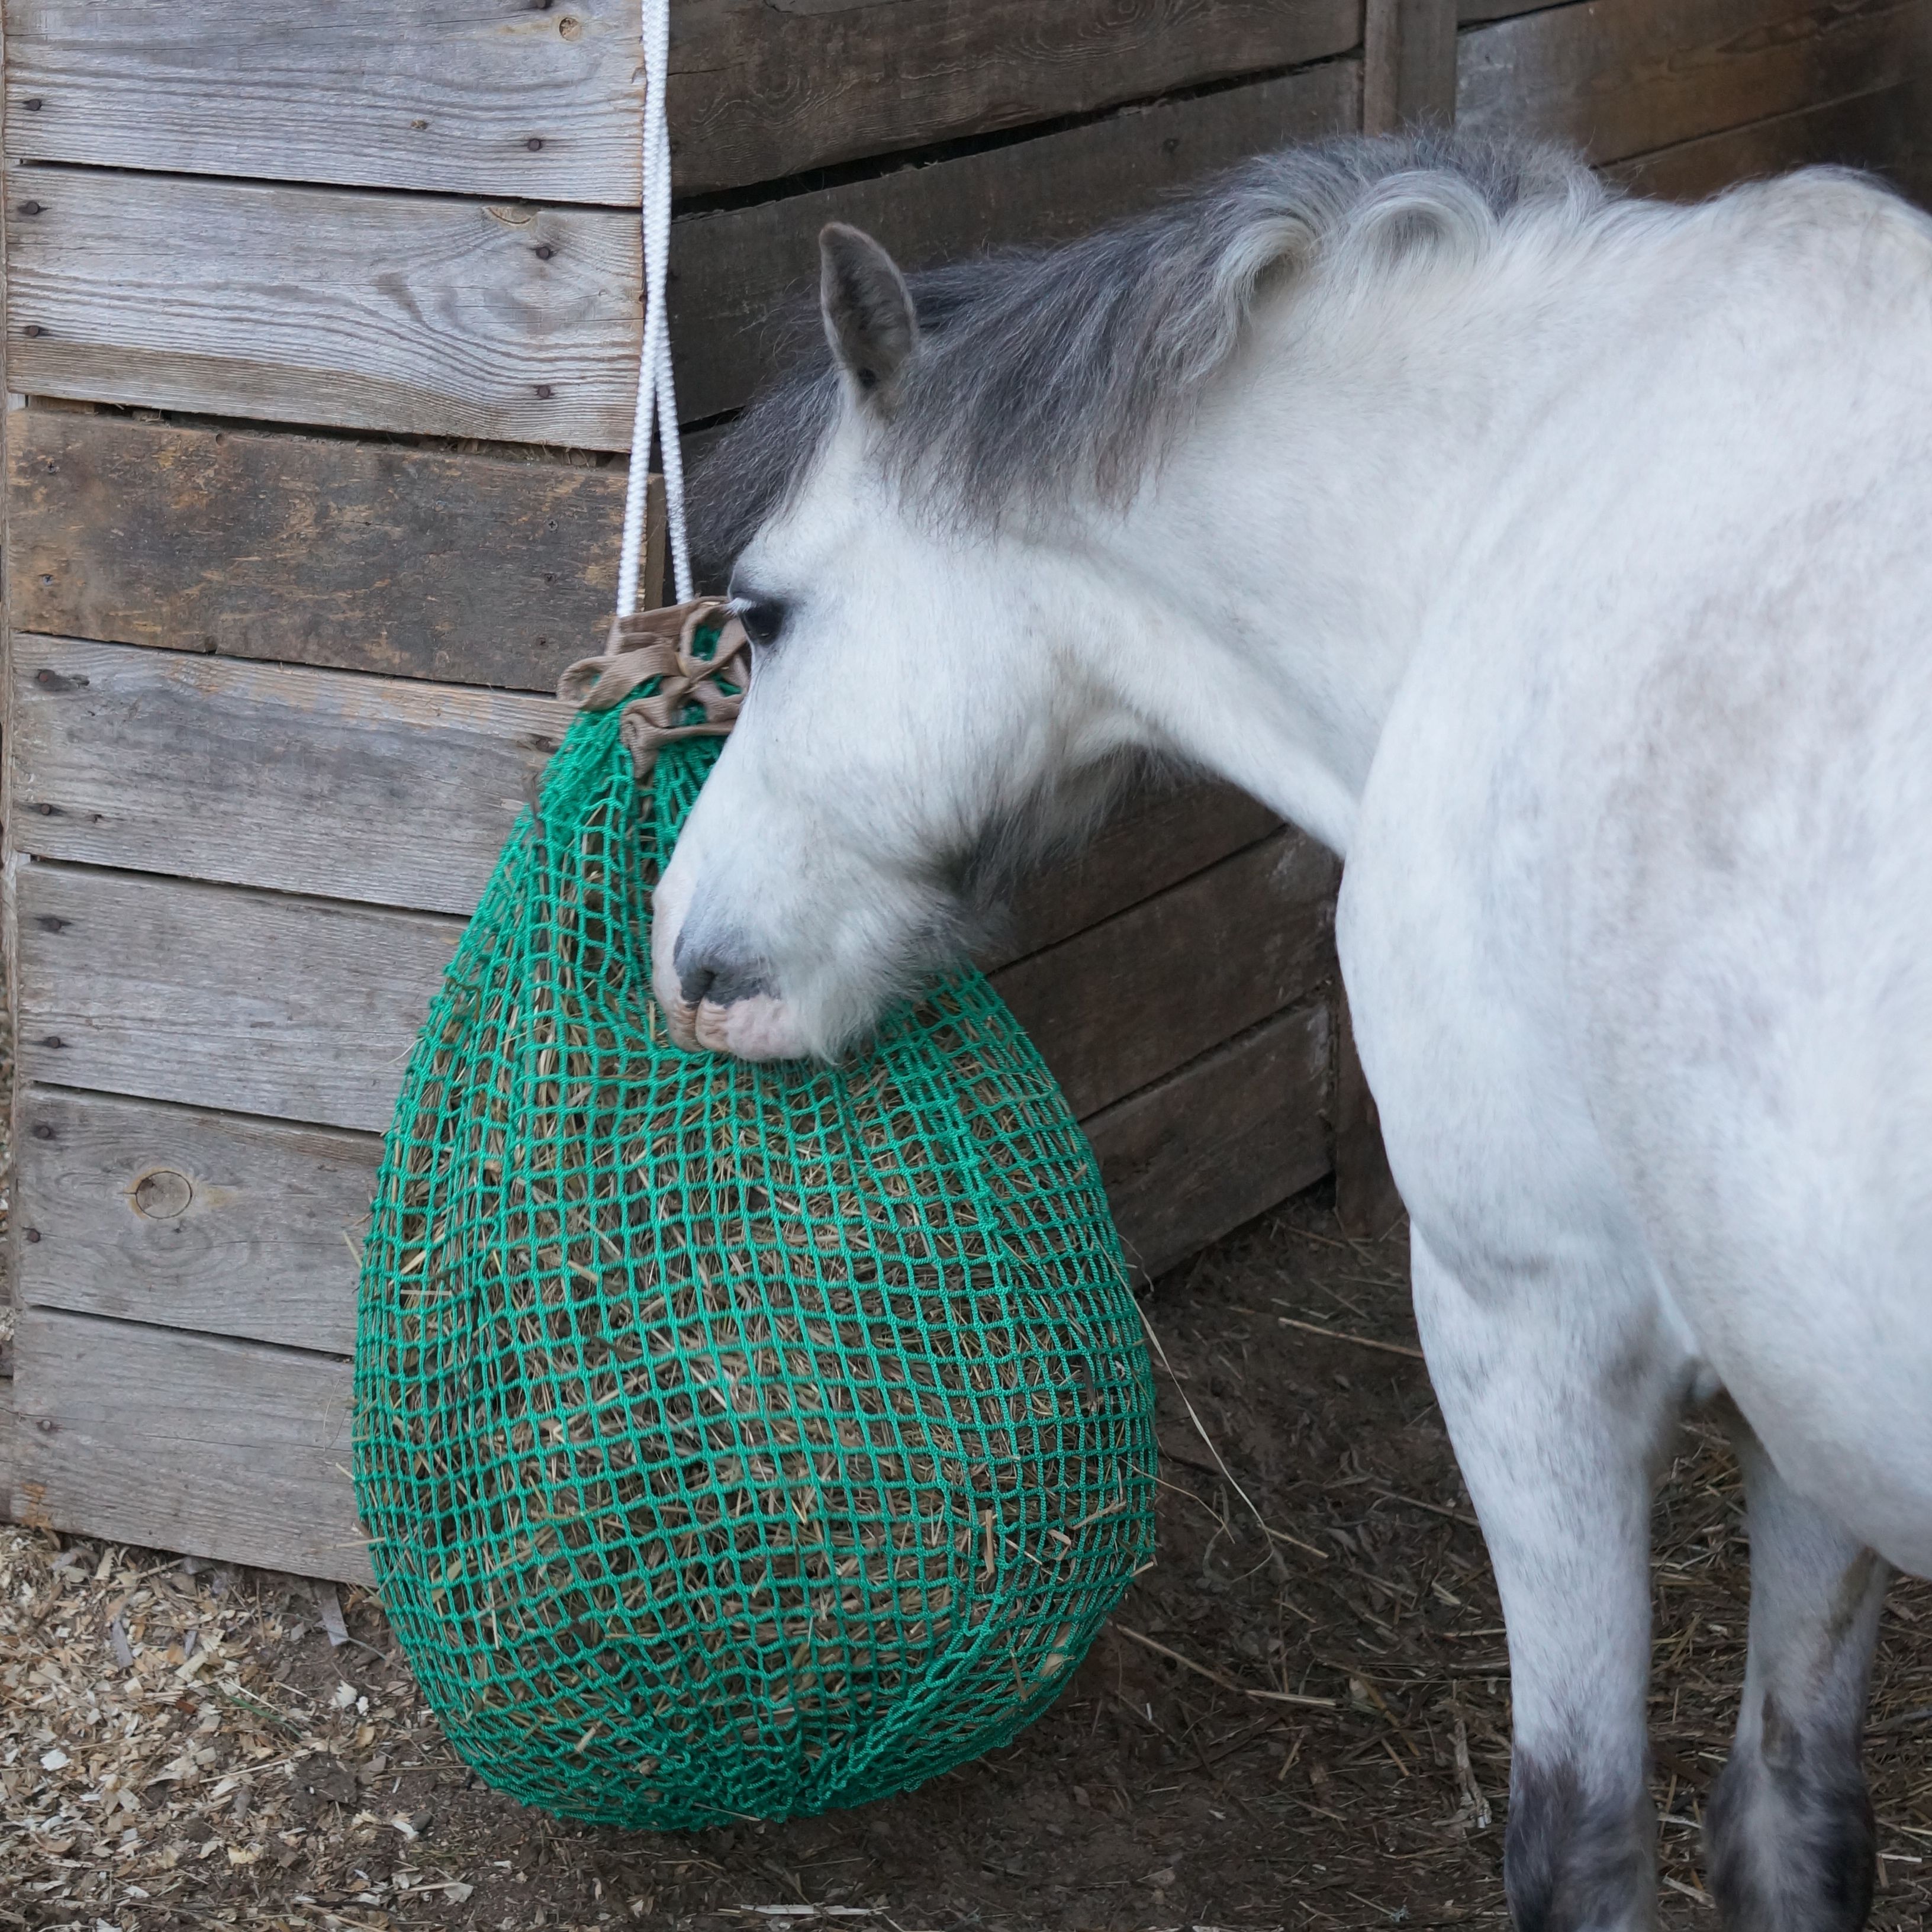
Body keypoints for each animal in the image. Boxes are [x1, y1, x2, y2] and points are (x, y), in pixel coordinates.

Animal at [649, 136, 1932, 1932]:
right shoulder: (1797, 1407)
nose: (685, 955)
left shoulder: (1527, 1322)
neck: (1518, 509)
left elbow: (1578, 1841)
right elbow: (1795, 1821)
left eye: (764, 614)